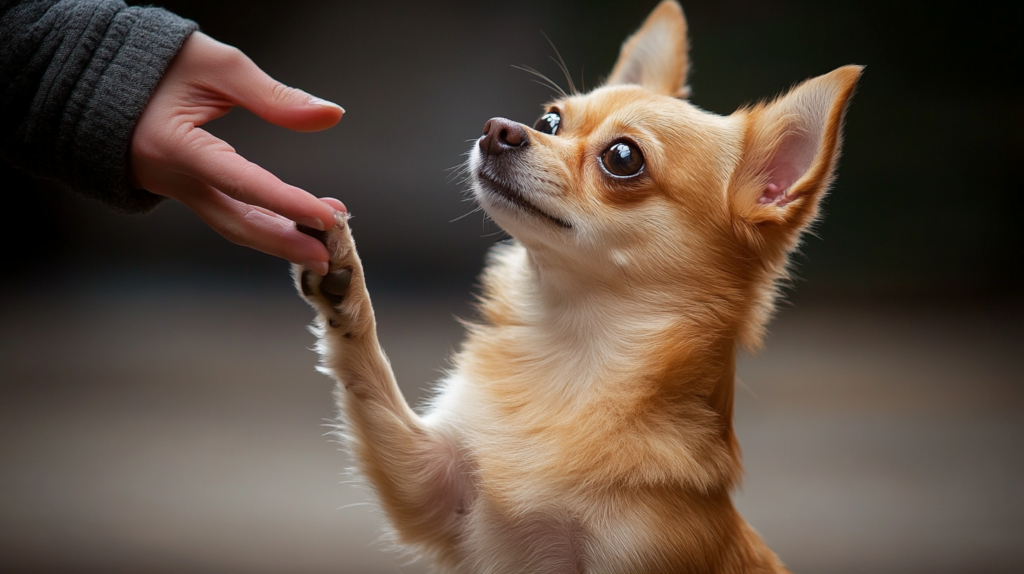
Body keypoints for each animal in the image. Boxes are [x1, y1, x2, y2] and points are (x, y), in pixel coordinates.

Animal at [294, 2, 856, 568]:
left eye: (623, 158)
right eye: (550, 121)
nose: (499, 128)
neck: (567, 347)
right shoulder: (428, 482)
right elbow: (368, 377)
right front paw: (342, 280)